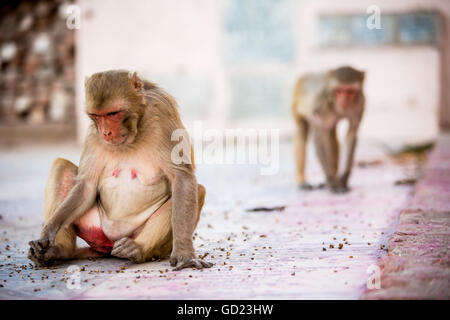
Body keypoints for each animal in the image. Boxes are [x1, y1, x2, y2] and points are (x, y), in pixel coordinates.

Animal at [29, 70, 214, 270]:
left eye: (113, 113)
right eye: (96, 116)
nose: (106, 132)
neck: (136, 129)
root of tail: (108, 245)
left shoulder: (161, 115)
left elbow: (181, 178)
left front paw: (184, 254)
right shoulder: (93, 134)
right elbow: (86, 187)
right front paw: (48, 232)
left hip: (151, 244)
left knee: (195, 189)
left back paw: (137, 249)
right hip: (94, 228)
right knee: (61, 166)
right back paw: (60, 251)